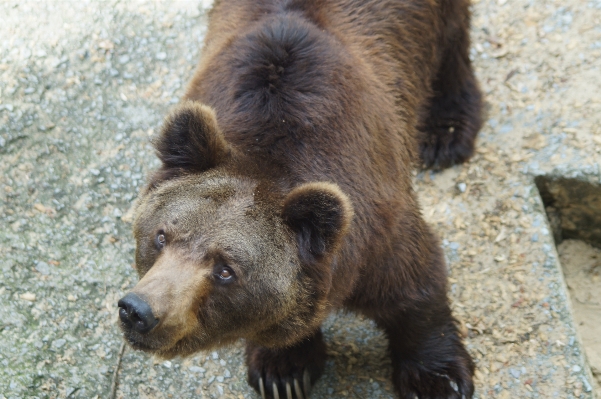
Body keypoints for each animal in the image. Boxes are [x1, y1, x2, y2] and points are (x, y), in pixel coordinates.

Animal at [117, 0, 482, 398]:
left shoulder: (377, 226)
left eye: (225, 270)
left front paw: (438, 379)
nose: (138, 310)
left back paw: (445, 132)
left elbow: (415, 286)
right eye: (160, 236)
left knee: (452, 45)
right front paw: (284, 371)